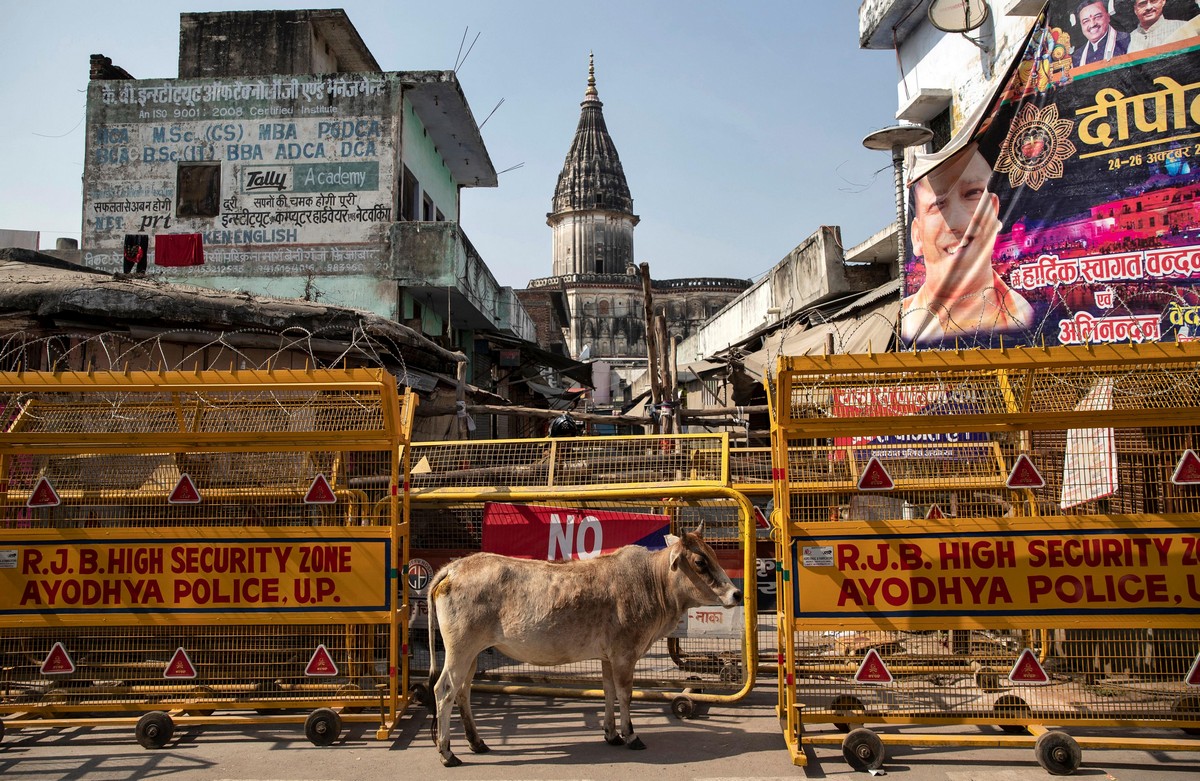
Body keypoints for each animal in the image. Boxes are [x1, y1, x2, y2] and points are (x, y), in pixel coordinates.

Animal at [427, 525, 734, 767]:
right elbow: (625, 695)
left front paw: (611, 734)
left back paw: (477, 742)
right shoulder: (625, 655)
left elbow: (609, 692)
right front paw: (631, 735)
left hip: (472, 654)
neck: (651, 581)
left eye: (713, 555)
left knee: (463, 691)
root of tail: (454, 567)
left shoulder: (608, 657)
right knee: (444, 690)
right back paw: (447, 753)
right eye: (700, 561)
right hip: (460, 650)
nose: (735, 593)